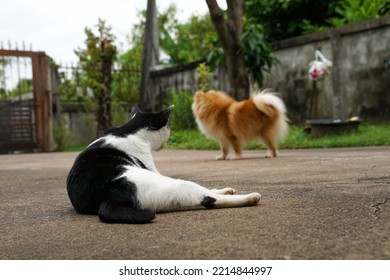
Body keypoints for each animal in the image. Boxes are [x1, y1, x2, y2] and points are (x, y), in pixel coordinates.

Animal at [67, 106, 262, 224]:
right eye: (167, 127)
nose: (170, 132)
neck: (127, 130)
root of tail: (107, 196)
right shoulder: (152, 166)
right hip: (173, 185)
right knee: (208, 199)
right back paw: (251, 197)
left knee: (208, 194)